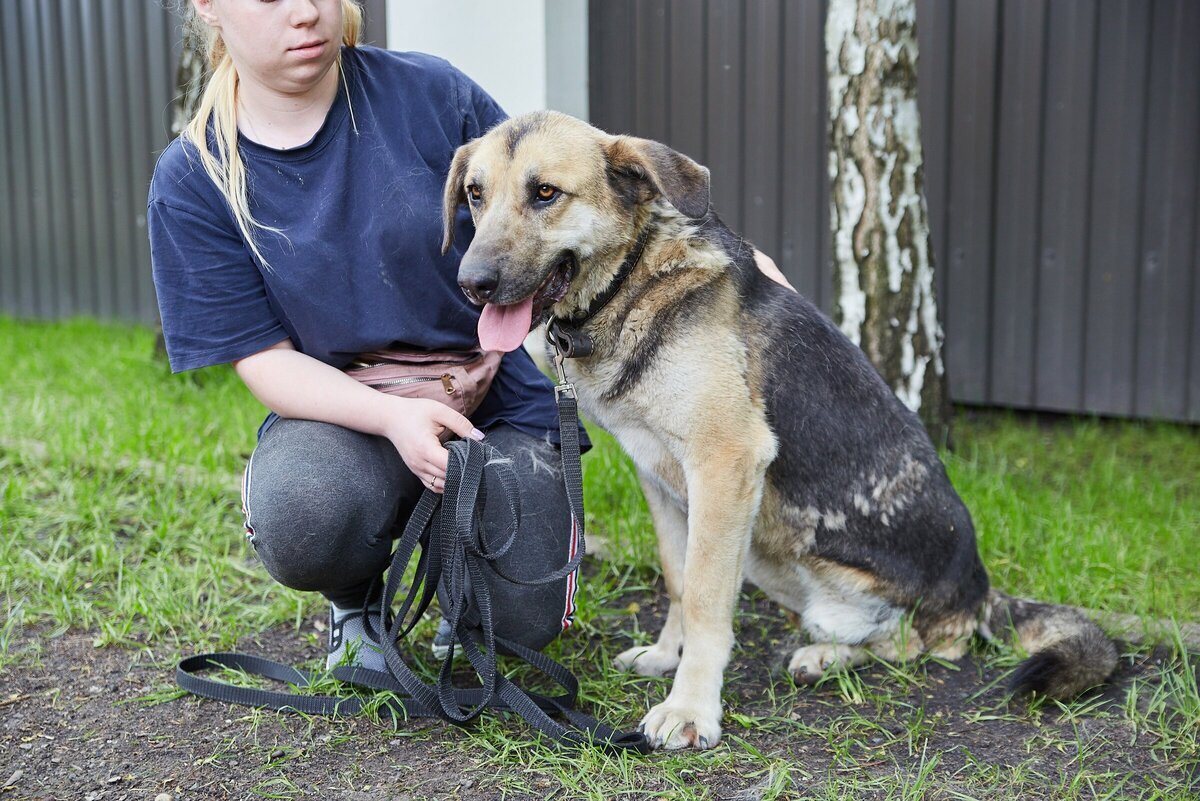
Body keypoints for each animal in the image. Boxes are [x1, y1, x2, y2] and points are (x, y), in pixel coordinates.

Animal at [439, 110, 1113, 753]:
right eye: (475, 194)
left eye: (546, 193)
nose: (471, 284)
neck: (633, 282)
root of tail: (980, 588)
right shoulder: (660, 476)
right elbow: (679, 578)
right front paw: (667, 656)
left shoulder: (726, 463)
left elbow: (706, 598)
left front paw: (691, 709)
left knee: (920, 643)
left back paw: (824, 656)